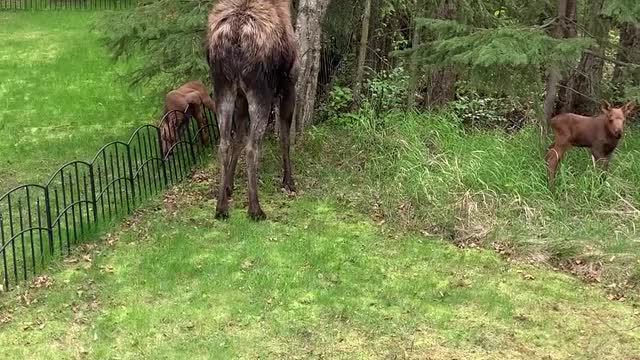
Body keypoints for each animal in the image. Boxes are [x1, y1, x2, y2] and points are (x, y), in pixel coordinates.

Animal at [210, 0, 300, 219]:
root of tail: (236, 35)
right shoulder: (289, 85)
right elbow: (284, 139)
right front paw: (288, 181)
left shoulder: (240, 99)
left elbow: (237, 140)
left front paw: (229, 186)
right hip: (261, 92)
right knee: (252, 148)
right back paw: (255, 209)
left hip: (222, 88)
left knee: (224, 144)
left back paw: (221, 207)